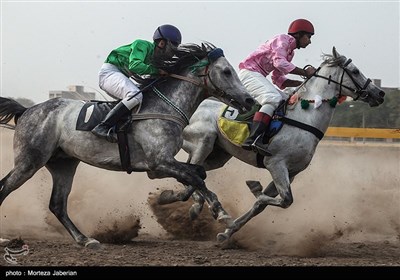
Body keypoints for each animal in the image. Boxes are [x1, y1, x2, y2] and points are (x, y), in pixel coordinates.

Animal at [0, 42, 255, 246]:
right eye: (227, 71)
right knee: (6, 188)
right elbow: (196, 177)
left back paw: (85, 239)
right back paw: (5, 239)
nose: (249, 100)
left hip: (63, 164)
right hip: (29, 162)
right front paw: (220, 212)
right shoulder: (160, 162)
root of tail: (27, 110)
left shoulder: (157, 167)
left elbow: (197, 174)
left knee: (57, 205)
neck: (164, 108)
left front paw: (173, 201)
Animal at [180, 47, 384, 242]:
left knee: (193, 174)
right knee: (191, 173)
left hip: (218, 156)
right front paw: (254, 188)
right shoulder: (276, 164)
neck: (305, 117)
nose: (379, 93)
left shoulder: (292, 172)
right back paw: (194, 204)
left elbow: (261, 205)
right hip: (204, 141)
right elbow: (285, 200)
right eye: (355, 71)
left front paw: (228, 232)